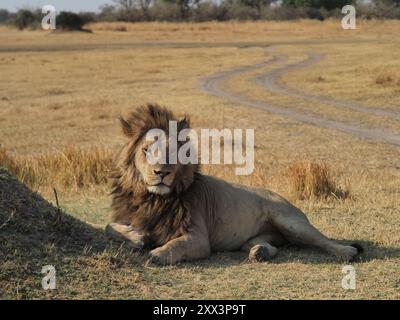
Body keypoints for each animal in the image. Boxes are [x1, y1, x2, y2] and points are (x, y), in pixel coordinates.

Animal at [105, 103, 360, 264]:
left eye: (173, 151)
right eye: (147, 150)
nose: (161, 172)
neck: (152, 198)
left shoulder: (198, 238)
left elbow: (175, 245)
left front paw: (157, 253)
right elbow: (110, 227)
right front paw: (135, 235)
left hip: (290, 221)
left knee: (323, 240)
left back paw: (347, 252)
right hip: (259, 238)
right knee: (270, 246)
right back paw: (260, 253)